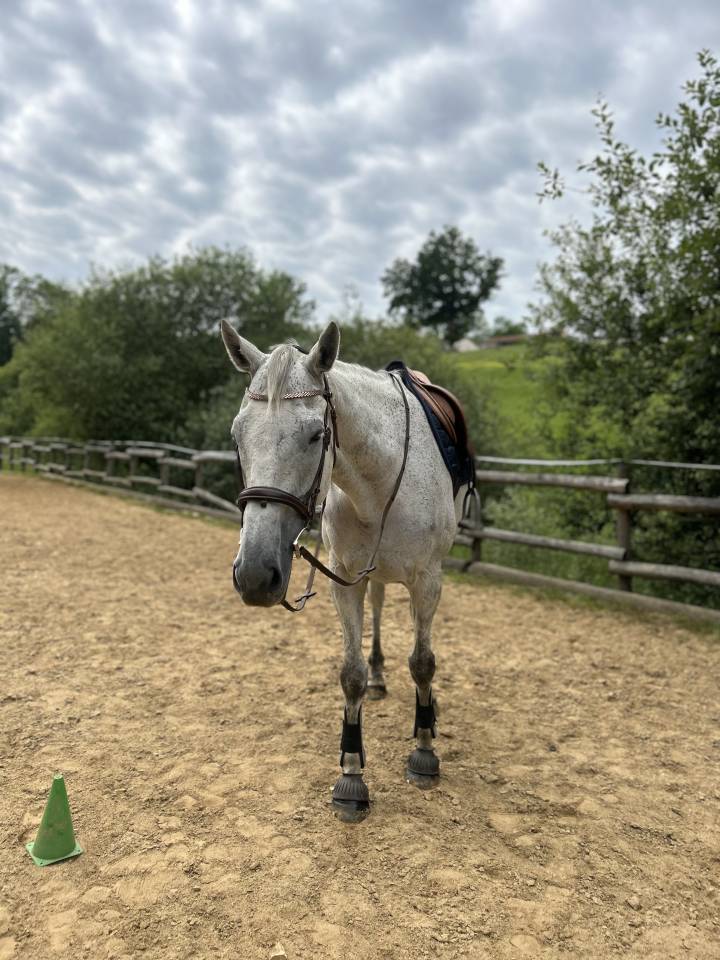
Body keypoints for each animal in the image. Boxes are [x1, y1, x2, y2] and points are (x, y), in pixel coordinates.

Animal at [220, 318, 470, 821]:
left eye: (317, 435)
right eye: (238, 435)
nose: (255, 575)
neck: (380, 483)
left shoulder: (428, 580)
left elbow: (423, 662)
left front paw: (424, 750)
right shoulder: (345, 581)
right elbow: (350, 673)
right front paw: (351, 776)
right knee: (377, 606)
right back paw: (378, 678)